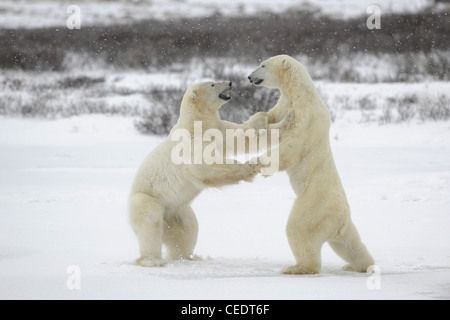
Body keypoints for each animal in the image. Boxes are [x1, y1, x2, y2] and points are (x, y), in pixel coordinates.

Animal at [128, 81, 272, 266]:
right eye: (212, 84)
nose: (230, 82)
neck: (196, 124)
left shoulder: (217, 129)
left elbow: (240, 136)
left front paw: (264, 117)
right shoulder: (191, 142)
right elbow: (201, 165)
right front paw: (248, 169)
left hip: (178, 210)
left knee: (188, 228)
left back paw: (189, 257)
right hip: (148, 199)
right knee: (150, 223)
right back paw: (152, 260)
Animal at [248, 55, 374, 276]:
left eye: (262, 65)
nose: (249, 76)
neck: (300, 93)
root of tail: (340, 220)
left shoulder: (307, 116)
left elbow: (292, 144)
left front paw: (259, 162)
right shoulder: (285, 103)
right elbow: (271, 118)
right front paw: (257, 123)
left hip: (315, 205)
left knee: (299, 228)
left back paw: (296, 267)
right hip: (341, 225)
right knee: (350, 245)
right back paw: (360, 265)